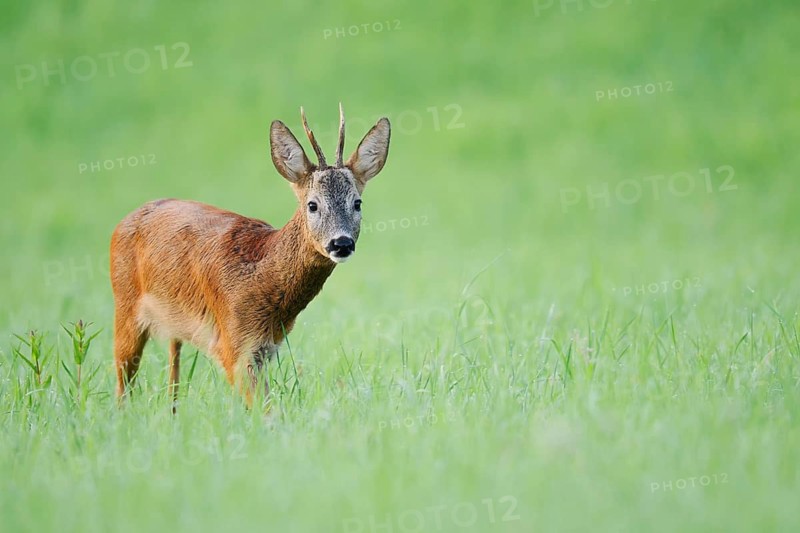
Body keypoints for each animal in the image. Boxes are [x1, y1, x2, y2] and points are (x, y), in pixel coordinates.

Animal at [110, 105, 390, 410]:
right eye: (312, 205)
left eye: (357, 203)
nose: (341, 243)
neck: (261, 276)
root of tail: (123, 221)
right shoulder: (233, 343)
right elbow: (264, 409)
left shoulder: (266, 348)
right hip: (125, 305)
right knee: (123, 380)